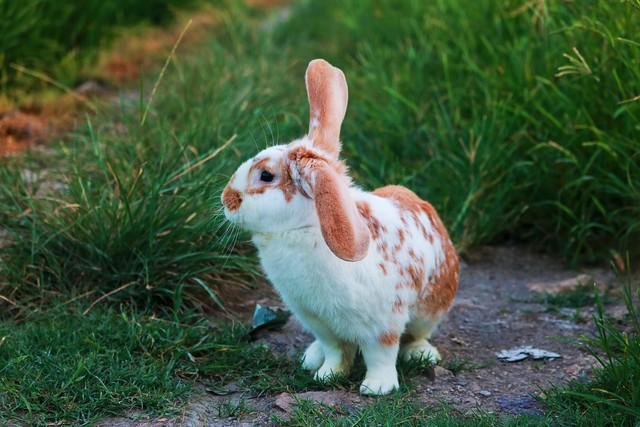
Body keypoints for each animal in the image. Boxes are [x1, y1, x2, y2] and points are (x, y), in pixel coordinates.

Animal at [222, 58, 458, 396]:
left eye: (266, 175)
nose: (226, 199)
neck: (304, 229)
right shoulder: (320, 323)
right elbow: (335, 351)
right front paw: (326, 376)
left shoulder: (382, 324)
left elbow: (381, 355)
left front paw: (377, 388)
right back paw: (310, 357)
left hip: (430, 310)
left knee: (416, 335)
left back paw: (422, 355)